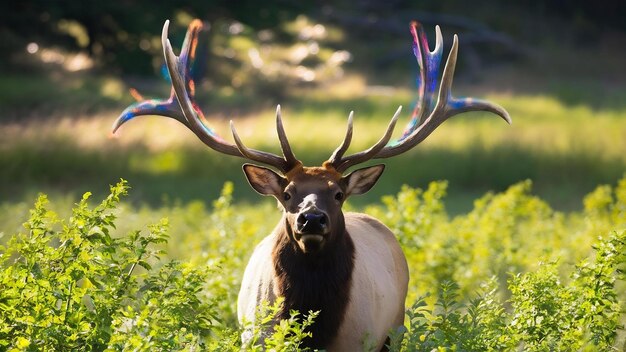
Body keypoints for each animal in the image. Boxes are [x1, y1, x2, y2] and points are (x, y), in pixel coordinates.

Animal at [113, 20, 508, 352]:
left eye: (338, 193)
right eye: (287, 194)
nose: (312, 219)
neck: (313, 323)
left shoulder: (359, 342)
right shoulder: (256, 337)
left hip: (395, 328)